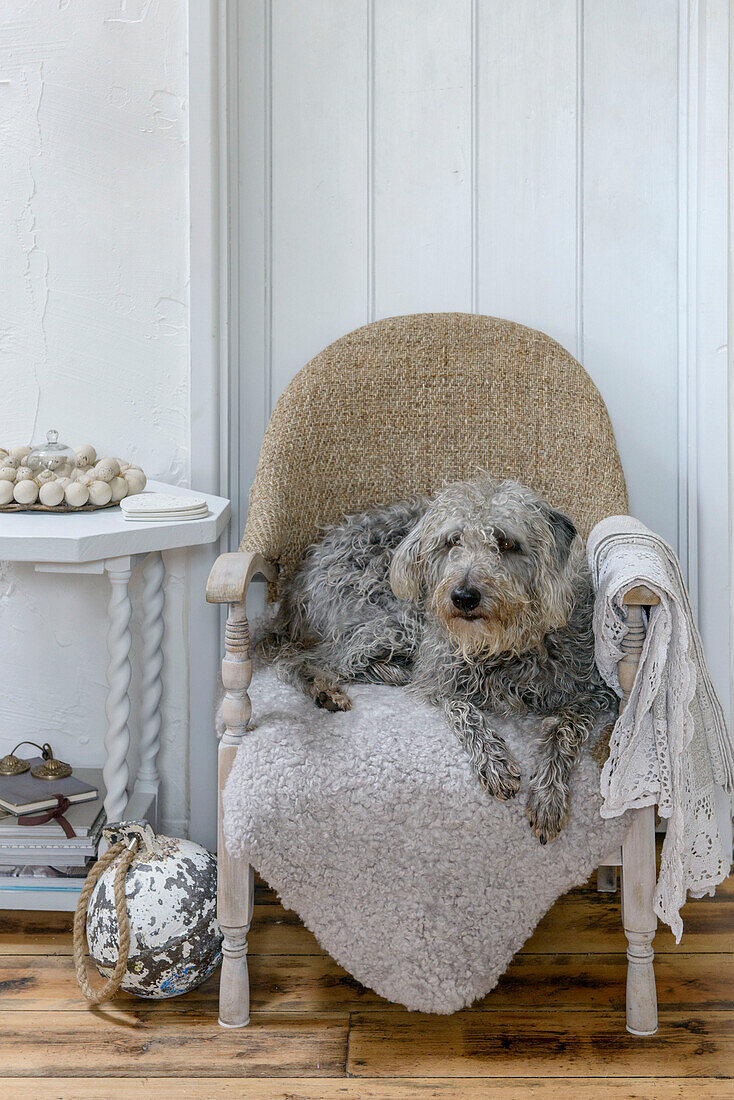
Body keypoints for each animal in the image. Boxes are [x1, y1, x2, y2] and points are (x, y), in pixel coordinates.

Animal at [260, 473, 616, 840]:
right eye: (452, 541)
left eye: (506, 543)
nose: (464, 596)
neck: (503, 646)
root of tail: (300, 578)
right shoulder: (440, 673)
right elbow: (462, 708)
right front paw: (494, 762)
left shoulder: (590, 693)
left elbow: (564, 730)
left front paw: (548, 796)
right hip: (396, 619)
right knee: (306, 659)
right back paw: (330, 687)